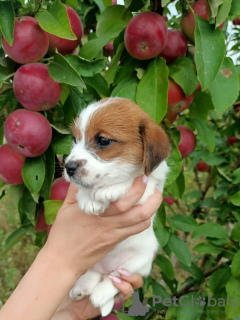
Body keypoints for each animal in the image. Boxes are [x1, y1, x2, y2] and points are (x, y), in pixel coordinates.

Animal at [64, 98, 172, 318]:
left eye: (103, 141)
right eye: (75, 139)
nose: (68, 167)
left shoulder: (153, 186)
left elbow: (135, 181)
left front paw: (110, 189)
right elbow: (82, 188)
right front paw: (87, 198)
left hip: (138, 263)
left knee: (114, 278)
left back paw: (99, 294)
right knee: (95, 272)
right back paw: (82, 286)